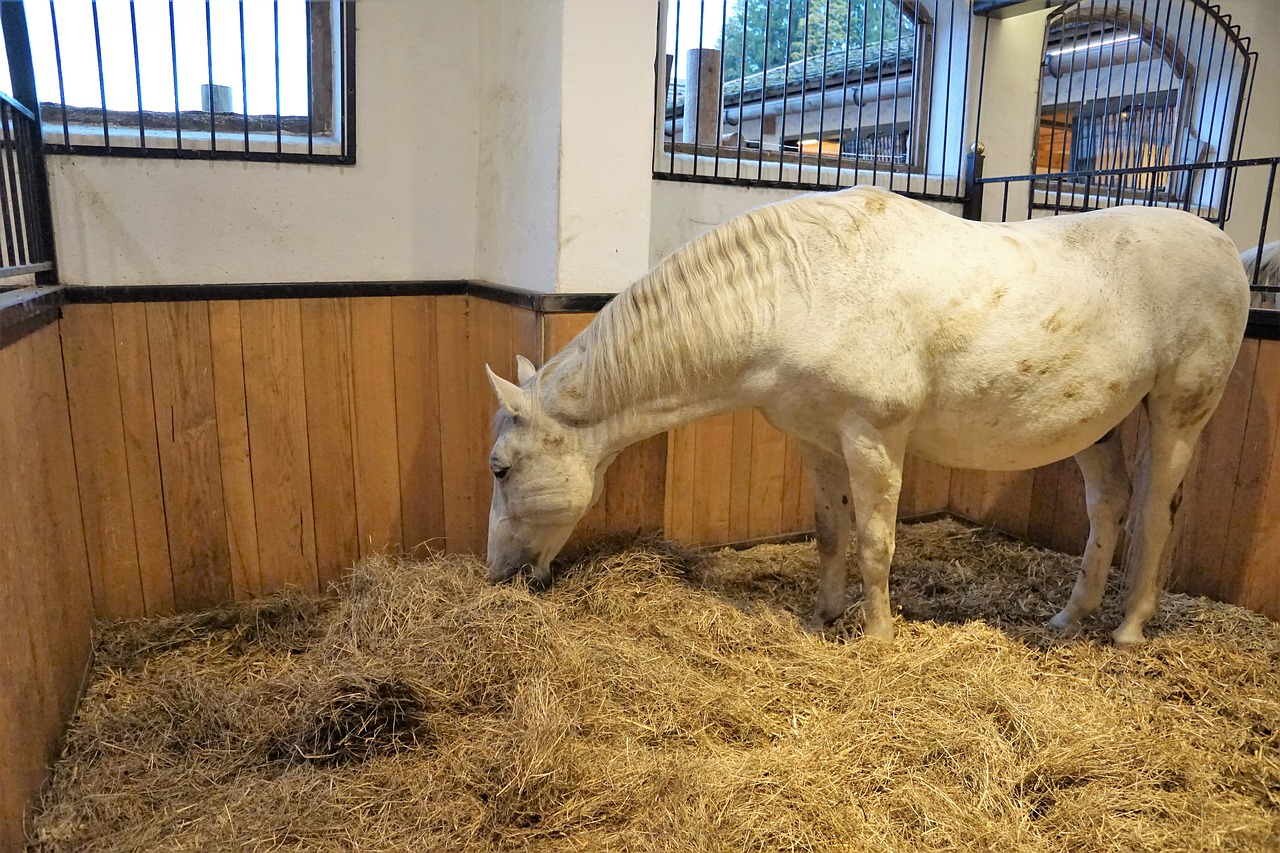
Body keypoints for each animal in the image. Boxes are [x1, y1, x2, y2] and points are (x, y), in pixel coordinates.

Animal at [483, 184, 1244, 637]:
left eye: (500, 469)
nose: (498, 575)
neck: (795, 290)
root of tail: (1223, 244)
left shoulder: (874, 437)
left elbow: (876, 541)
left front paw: (876, 634)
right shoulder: (817, 440)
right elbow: (830, 533)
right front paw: (823, 615)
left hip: (1179, 412)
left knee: (1154, 512)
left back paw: (1128, 627)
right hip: (1100, 424)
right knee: (1108, 505)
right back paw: (1068, 617)